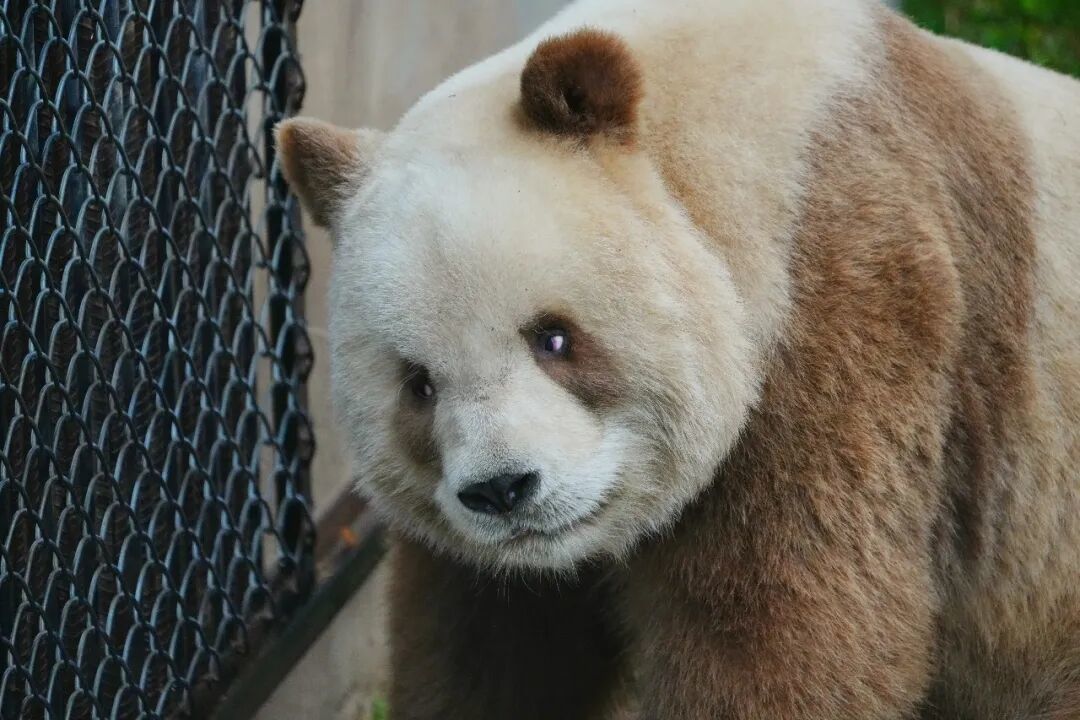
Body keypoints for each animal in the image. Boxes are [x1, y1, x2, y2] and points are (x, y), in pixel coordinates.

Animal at [274, 0, 1080, 717]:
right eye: (417, 385)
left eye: (554, 337)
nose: (504, 490)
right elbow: (493, 650)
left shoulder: (850, 303)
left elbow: (788, 628)